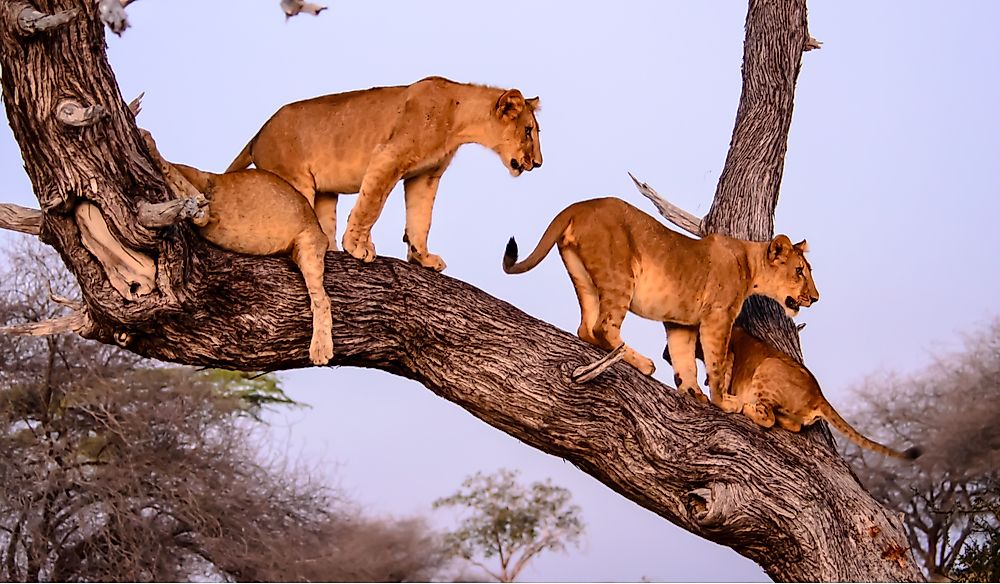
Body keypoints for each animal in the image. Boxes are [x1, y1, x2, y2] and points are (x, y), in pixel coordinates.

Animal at [228, 74, 544, 272]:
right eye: (528, 131)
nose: (539, 163)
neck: (459, 117)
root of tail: (258, 134)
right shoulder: (388, 157)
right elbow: (371, 205)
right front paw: (357, 246)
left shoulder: (425, 176)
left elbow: (421, 220)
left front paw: (423, 257)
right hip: (294, 180)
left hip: (324, 194)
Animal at [500, 198, 820, 404]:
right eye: (799, 271)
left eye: (807, 270)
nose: (816, 298)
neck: (750, 264)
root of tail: (579, 205)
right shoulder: (718, 317)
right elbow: (716, 363)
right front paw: (723, 401)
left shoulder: (682, 322)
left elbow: (685, 359)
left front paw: (693, 393)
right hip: (619, 275)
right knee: (604, 326)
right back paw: (644, 364)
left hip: (583, 277)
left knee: (586, 329)